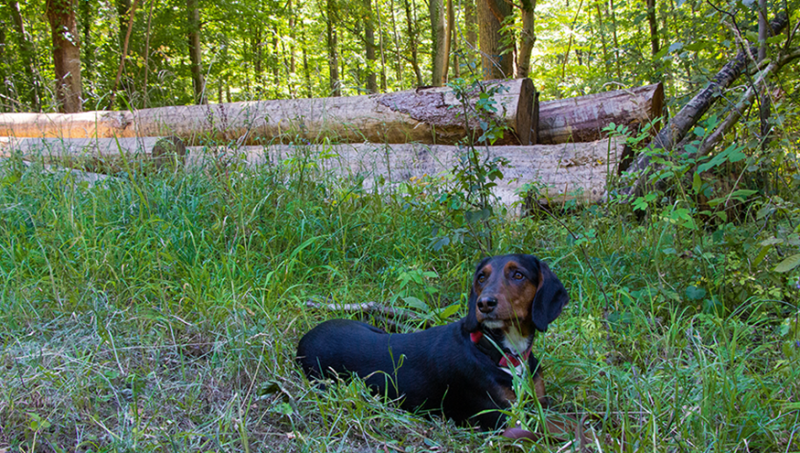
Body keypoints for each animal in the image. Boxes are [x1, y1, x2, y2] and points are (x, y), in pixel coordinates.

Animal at [296, 254, 568, 430]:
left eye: (518, 275)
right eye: (481, 277)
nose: (484, 304)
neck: (503, 352)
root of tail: (306, 337)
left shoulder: (541, 403)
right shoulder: (505, 416)